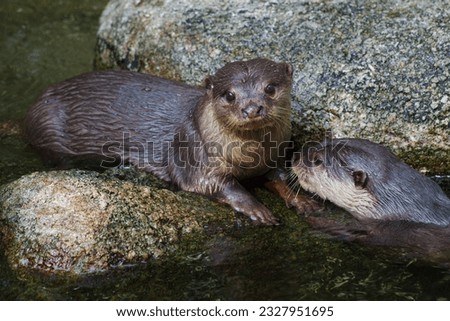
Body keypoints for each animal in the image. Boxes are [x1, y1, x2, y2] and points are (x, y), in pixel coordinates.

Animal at [25, 58, 320, 222]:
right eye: (230, 95)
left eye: (269, 88)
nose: (252, 108)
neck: (251, 157)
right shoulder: (195, 154)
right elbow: (220, 185)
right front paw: (257, 208)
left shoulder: (274, 157)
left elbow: (281, 178)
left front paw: (303, 201)